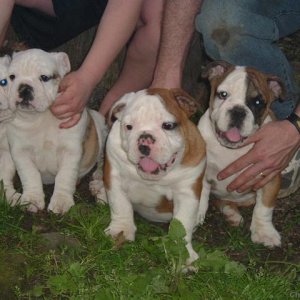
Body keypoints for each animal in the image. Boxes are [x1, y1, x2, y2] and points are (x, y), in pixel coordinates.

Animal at [5, 48, 107, 213]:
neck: (40, 116)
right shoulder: (21, 152)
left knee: (102, 160)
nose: (24, 87)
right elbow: (30, 174)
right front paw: (32, 198)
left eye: (44, 78)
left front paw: (61, 202)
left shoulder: (70, 152)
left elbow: (64, 177)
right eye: (12, 77)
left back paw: (98, 179)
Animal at [197, 59, 284, 247]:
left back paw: (232, 213)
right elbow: (200, 194)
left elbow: (264, 206)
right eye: (222, 94)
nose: (238, 111)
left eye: (258, 103)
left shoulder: (269, 175)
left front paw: (264, 232)